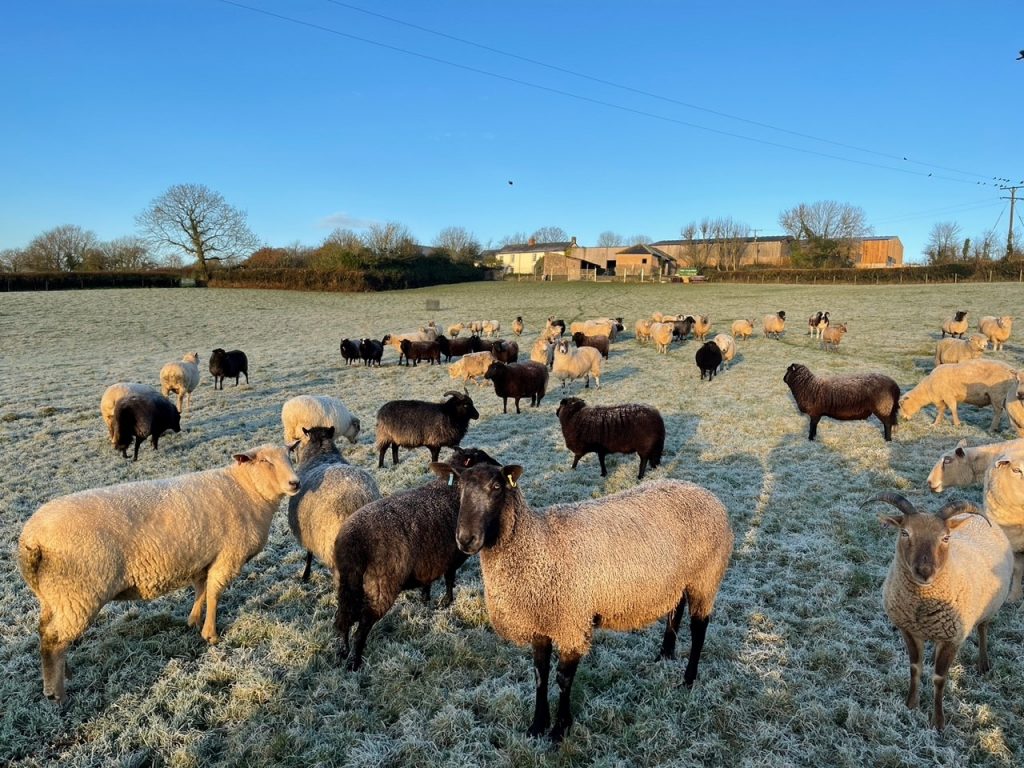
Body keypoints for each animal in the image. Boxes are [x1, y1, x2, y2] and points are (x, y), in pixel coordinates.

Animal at [17, 443, 301, 704]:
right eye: (265, 461)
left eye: (290, 455)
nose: (295, 483)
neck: (246, 490)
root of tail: (30, 538)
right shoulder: (228, 556)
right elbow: (214, 593)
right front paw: (211, 634)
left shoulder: (203, 558)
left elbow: (201, 590)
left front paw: (193, 620)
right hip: (78, 591)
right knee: (54, 641)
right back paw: (57, 693)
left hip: (54, 595)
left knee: (47, 632)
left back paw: (66, 674)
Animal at [334, 447, 500, 671]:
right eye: (481, 460)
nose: (500, 467)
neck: (453, 490)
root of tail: (352, 541)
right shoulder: (451, 557)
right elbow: (449, 579)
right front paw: (446, 602)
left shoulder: (429, 560)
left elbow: (429, 581)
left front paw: (425, 600)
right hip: (381, 587)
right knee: (363, 625)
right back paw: (355, 661)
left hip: (346, 583)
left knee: (343, 618)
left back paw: (342, 652)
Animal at [435, 461, 733, 741]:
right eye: (459, 488)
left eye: (496, 487)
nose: (466, 539)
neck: (537, 545)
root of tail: (706, 493)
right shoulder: (540, 622)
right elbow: (540, 674)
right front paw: (537, 725)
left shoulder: (571, 622)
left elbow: (563, 679)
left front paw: (559, 730)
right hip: (678, 579)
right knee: (675, 610)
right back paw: (665, 655)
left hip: (705, 576)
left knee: (699, 627)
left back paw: (688, 679)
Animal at [864, 492, 1012, 731]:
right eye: (905, 533)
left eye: (945, 538)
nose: (924, 572)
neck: (923, 604)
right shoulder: (909, 630)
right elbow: (915, 667)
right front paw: (911, 704)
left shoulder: (953, 638)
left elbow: (939, 679)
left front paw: (938, 721)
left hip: (989, 606)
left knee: (983, 629)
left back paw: (983, 663)